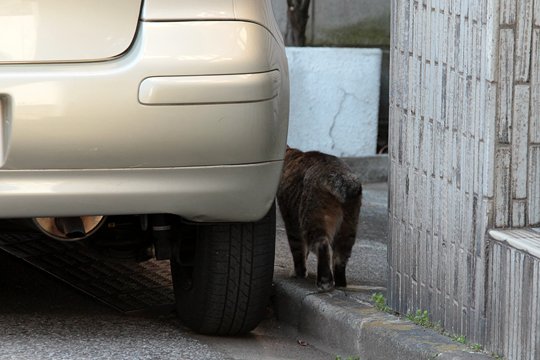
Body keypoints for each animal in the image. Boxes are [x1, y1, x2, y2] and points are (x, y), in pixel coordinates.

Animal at [276, 146, 360, 292]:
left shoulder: (292, 222)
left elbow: (298, 250)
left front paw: (299, 273)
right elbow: (304, 252)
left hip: (311, 220)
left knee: (322, 245)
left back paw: (324, 282)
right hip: (348, 228)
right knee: (340, 256)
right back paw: (340, 283)